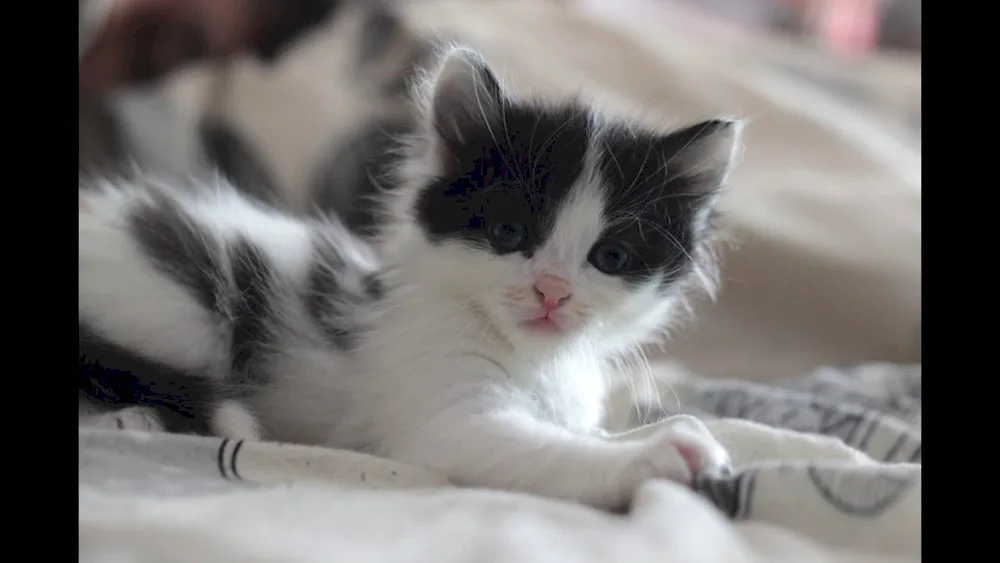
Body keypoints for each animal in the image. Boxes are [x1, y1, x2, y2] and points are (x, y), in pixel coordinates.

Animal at [82, 45, 744, 512]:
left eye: (610, 257)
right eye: (508, 233)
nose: (551, 290)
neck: (534, 359)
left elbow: (587, 432)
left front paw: (675, 430)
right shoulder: (447, 425)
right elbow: (550, 451)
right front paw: (665, 454)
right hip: (182, 295)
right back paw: (130, 419)